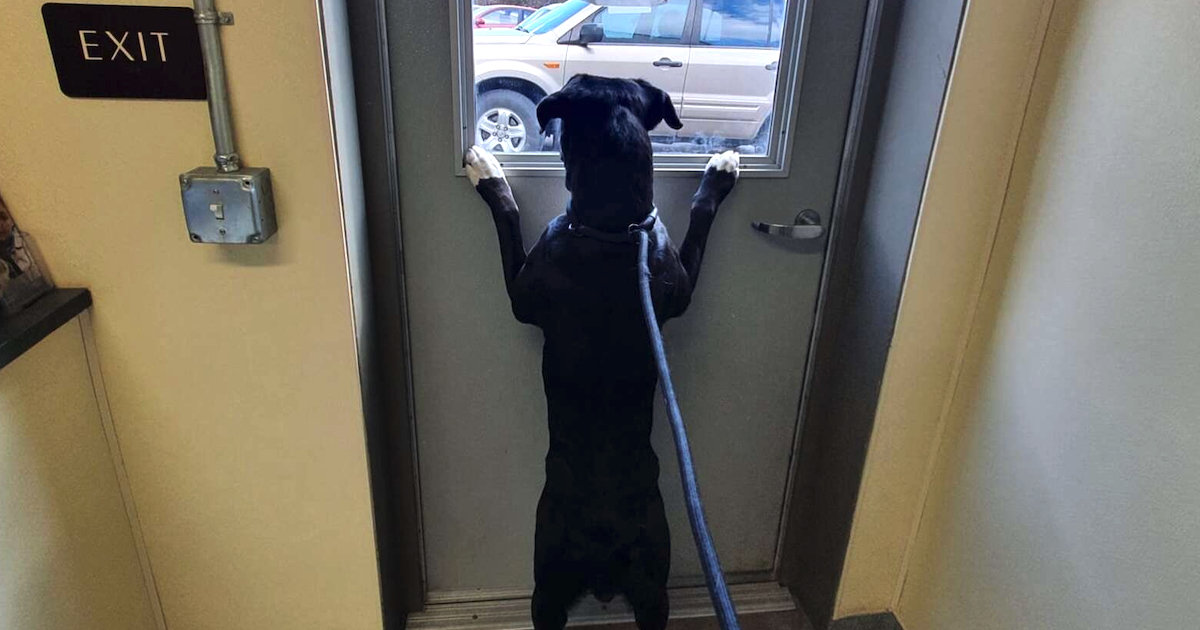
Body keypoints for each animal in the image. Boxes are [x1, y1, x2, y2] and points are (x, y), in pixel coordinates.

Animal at [460, 76, 734, 628]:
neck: (615, 225)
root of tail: (605, 550)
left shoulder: (523, 293)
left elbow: (508, 216)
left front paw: (489, 170)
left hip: (548, 574)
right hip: (646, 588)